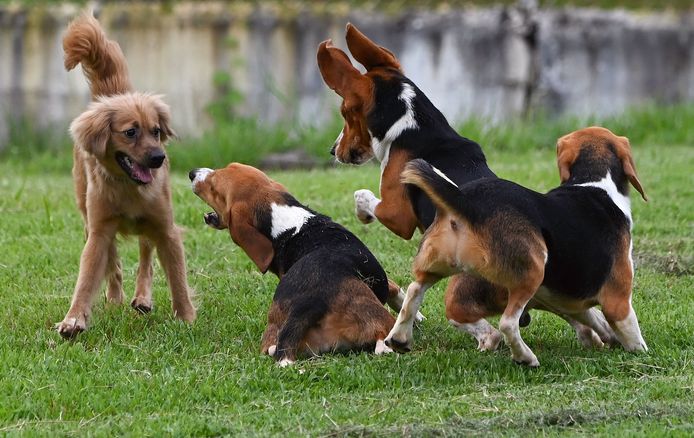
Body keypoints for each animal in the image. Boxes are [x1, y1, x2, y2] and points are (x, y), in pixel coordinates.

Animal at [53, 12, 196, 338]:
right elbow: (87, 278)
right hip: (89, 220)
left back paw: (142, 298)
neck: (128, 187)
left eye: (155, 131)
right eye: (130, 132)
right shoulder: (99, 232)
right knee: (114, 265)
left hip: (149, 225)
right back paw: (116, 298)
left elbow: (177, 280)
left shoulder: (166, 229)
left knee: (146, 259)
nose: (158, 159)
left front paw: (186, 318)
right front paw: (74, 319)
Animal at [388, 127, 648, 366]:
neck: (594, 182)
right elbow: (631, 332)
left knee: (414, 290)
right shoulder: (618, 299)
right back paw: (525, 357)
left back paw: (399, 338)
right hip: (531, 272)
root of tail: (469, 203)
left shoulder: (571, 301)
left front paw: (605, 338)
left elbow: (593, 318)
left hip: (436, 264)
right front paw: (640, 353)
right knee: (507, 323)